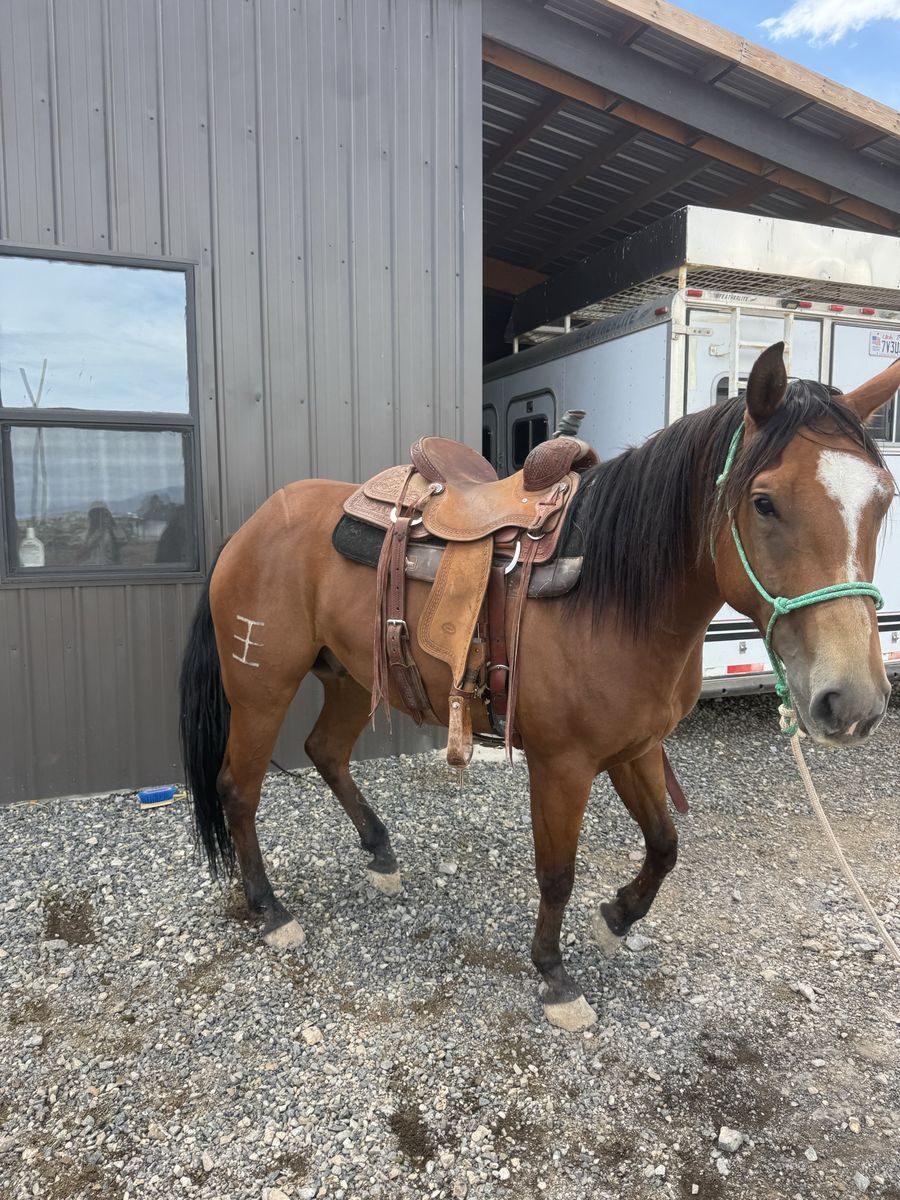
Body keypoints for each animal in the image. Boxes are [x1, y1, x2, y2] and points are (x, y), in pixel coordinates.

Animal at [178, 343, 897, 1031]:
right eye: (764, 501)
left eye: (884, 499)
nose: (853, 702)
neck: (615, 594)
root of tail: (253, 524)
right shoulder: (562, 764)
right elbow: (557, 873)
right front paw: (554, 976)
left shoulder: (637, 749)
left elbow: (665, 845)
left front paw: (617, 917)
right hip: (261, 688)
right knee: (238, 789)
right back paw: (271, 910)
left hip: (352, 677)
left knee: (326, 752)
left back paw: (380, 855)